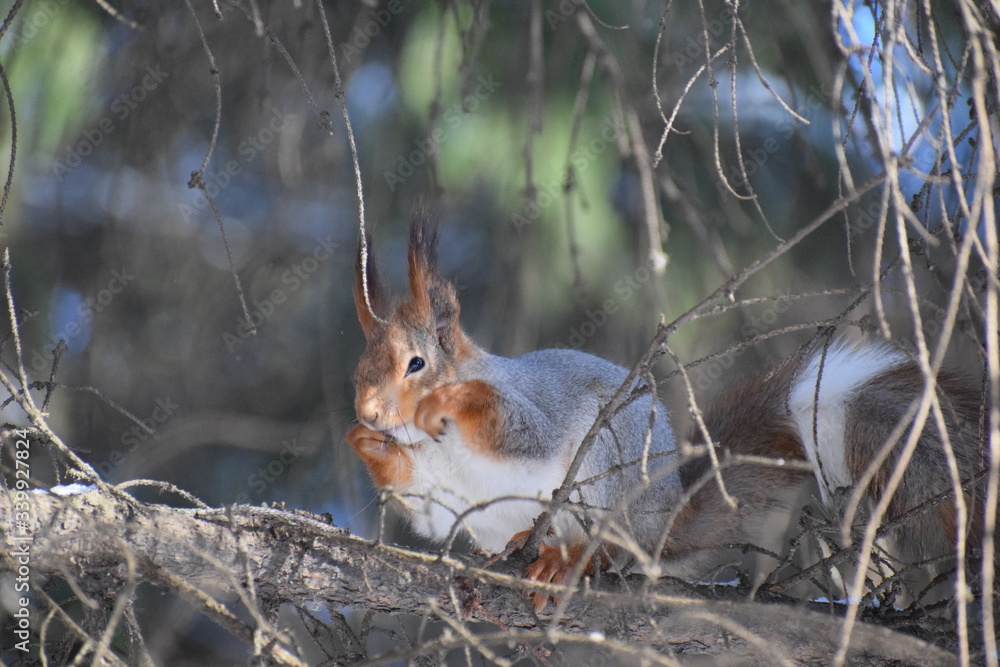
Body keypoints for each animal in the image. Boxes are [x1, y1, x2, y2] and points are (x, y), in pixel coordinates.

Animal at [347, 212, 988, 612]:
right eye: (361, 365)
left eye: (415, 363)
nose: (368, 410)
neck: (435, 447)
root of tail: (664, 518)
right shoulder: (438, 494)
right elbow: (425, 513)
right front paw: (365, 443)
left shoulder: (531, 405)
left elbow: (520, 431)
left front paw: (443, 402)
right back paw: (521, 548)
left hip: (611, 463)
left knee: (615, 546)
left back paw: (568, 557)